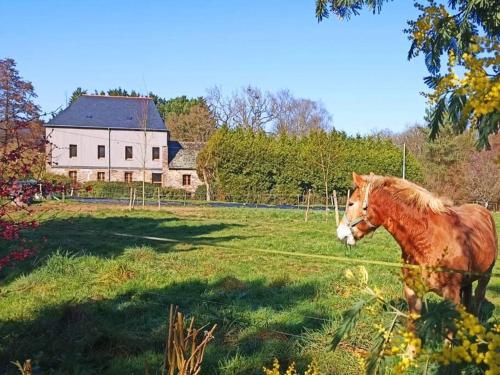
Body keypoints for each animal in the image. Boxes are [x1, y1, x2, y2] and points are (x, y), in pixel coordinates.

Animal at [336, 173, 496, 318]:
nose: (340, 233)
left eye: (351, 203)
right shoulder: (412, 292)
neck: (427, 243)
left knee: (478, 299)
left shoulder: (452, 296)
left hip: (485, 278)